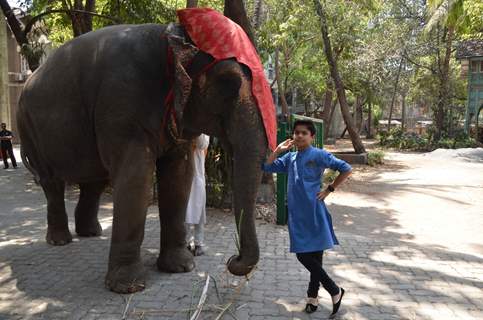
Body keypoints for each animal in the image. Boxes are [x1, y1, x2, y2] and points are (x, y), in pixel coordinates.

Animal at [17, 7, 274, 294]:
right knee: (52, 182)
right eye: (229, 83)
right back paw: (60, 240)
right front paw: (128, 287)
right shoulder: (122, 105)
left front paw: (181, 267)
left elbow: (179, 178)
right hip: (28, 129)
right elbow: (136, 180)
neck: (172, 38)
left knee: (94, 181)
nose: (233, 260)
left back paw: (90, 233)